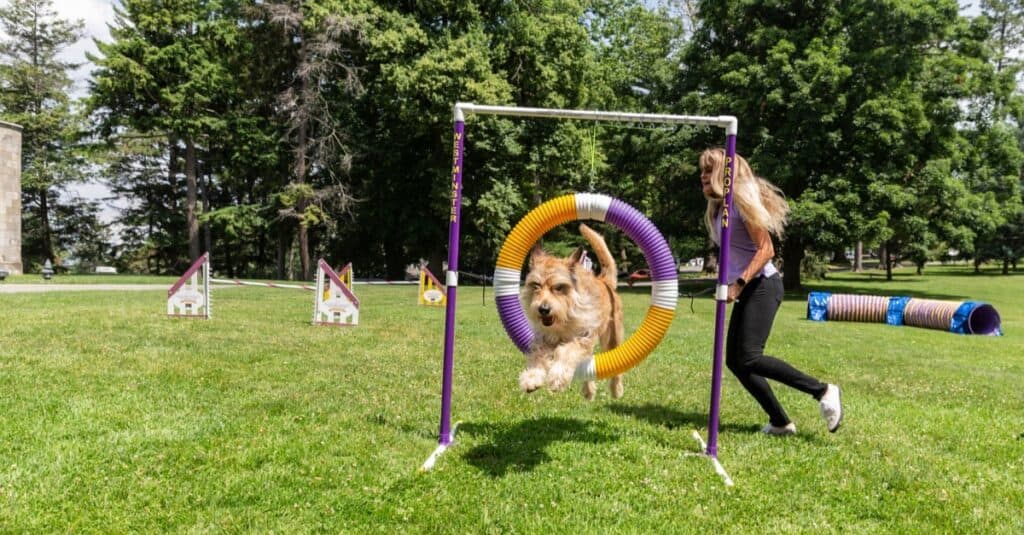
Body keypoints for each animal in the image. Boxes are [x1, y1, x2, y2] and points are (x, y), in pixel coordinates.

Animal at [520, 221, 622, 399]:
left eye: (559, 287)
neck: (563, 320)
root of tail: (604, 281)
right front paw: (531, 377)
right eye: (536, 285)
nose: (543, 309)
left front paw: (557, 378)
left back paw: (616, 389)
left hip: (612, 337)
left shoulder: (583, 336)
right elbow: (539, 355)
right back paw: (588, 390)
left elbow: (566, 352)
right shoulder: (544, 339)